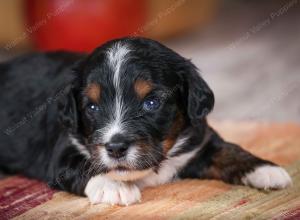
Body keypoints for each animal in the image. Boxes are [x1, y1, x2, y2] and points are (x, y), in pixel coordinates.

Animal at [0, 37, 290, 205]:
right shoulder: (62, 152)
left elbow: (228, 150)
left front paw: (265, 169)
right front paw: (114, 187)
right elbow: (83, 166)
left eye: (151, 102)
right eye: (92, 107)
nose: (115, 148)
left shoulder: (199, 140)